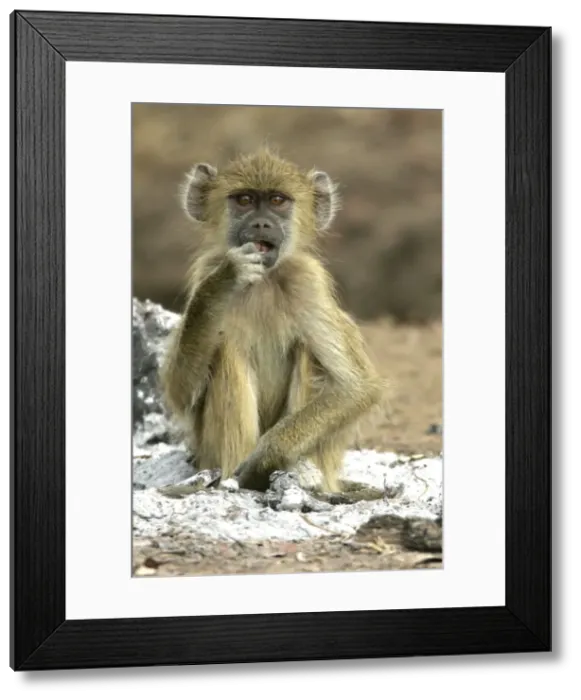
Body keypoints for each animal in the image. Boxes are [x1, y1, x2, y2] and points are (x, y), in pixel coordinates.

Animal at [159, 147, 384, 493]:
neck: (263, 281)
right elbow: (180, 393)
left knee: (307, 351)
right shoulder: (205, 269)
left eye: (278, 200)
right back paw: (228, 479)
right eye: (245, 200)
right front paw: (226, 279)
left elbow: (356, 387)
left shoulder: (308, 282)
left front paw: (265, 458)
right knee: (227, 349)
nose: (262, 224)